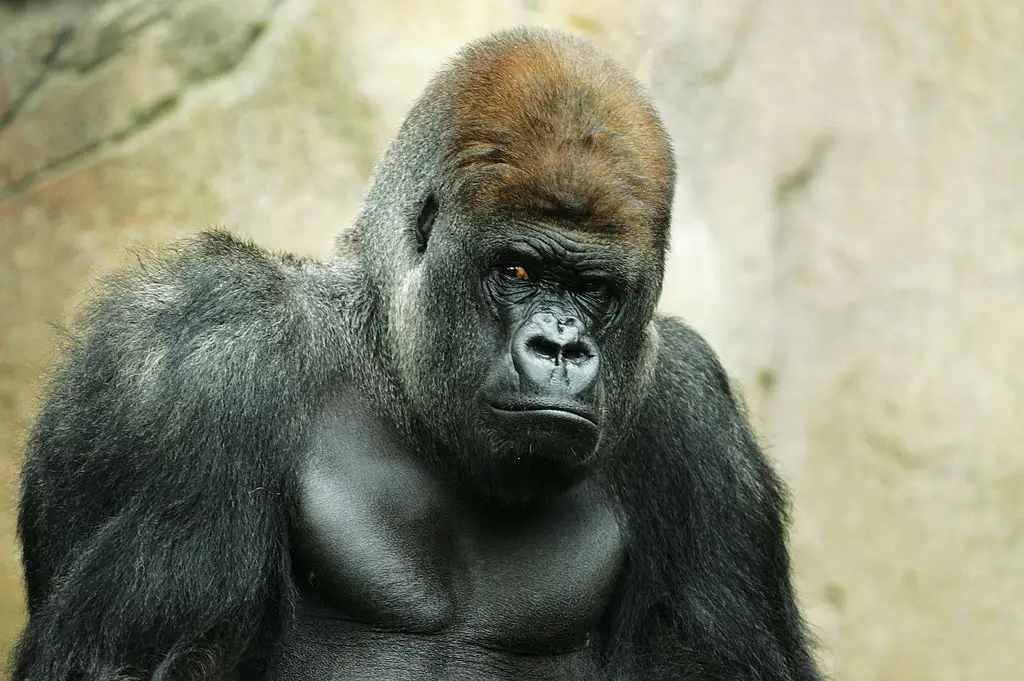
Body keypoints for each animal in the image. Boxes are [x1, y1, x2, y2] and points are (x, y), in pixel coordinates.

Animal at [12, 27, 822, 681]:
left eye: (593, 288)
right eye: (518, 271)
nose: (562, 346)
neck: (391, 366)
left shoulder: (698, 424)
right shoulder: (204, 352)